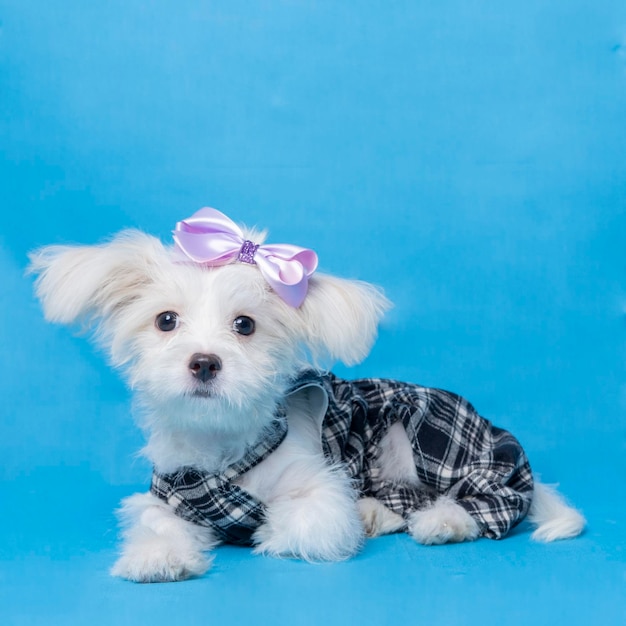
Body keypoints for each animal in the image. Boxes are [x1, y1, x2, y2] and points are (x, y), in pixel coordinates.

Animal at [29, 206, 584, 580]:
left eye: (245, 325)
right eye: (166, 320)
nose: (205, 362)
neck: (222, 446)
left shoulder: (319, 488)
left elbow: (309, 521)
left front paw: (269, 532)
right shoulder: (168, 495)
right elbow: (158, 525)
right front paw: (158, 556)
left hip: (415, 437)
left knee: (481, 501)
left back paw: (439, 522)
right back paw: (376, 512)